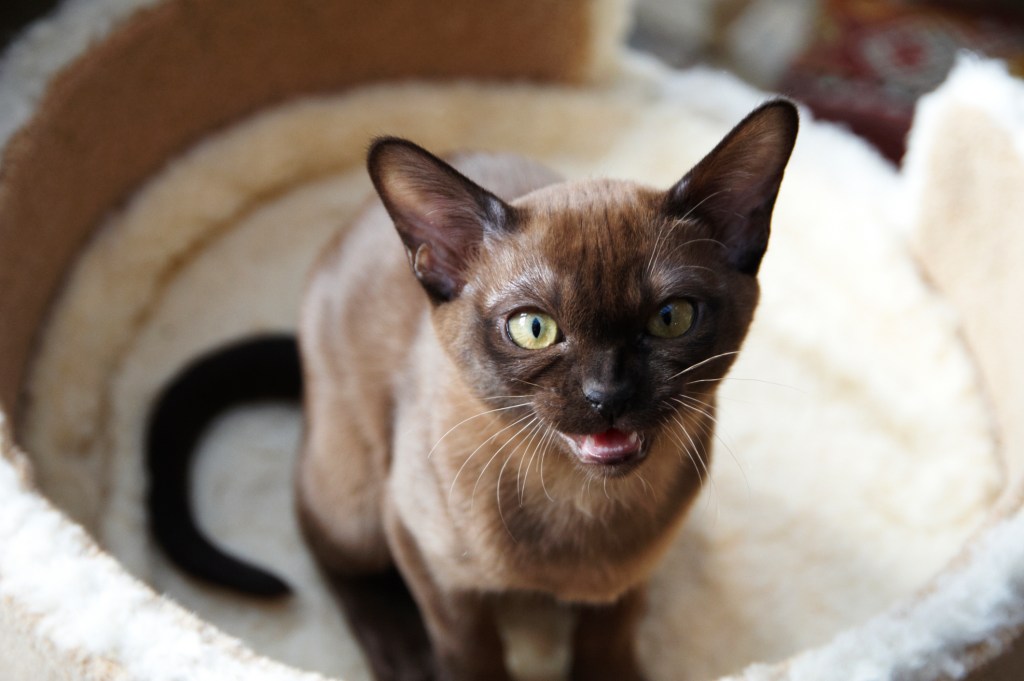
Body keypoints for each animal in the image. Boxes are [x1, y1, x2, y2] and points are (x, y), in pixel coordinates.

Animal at [146, 96, 798, 679]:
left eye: (671, 318)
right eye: (535, 329)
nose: (606, 395)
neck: (581, 510)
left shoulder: (632, 577)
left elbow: (608, 637)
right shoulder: (427, 556)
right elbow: (472, 652)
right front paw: (438, 659)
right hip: (355, 503)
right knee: (320, 540)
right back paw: (403, 656)